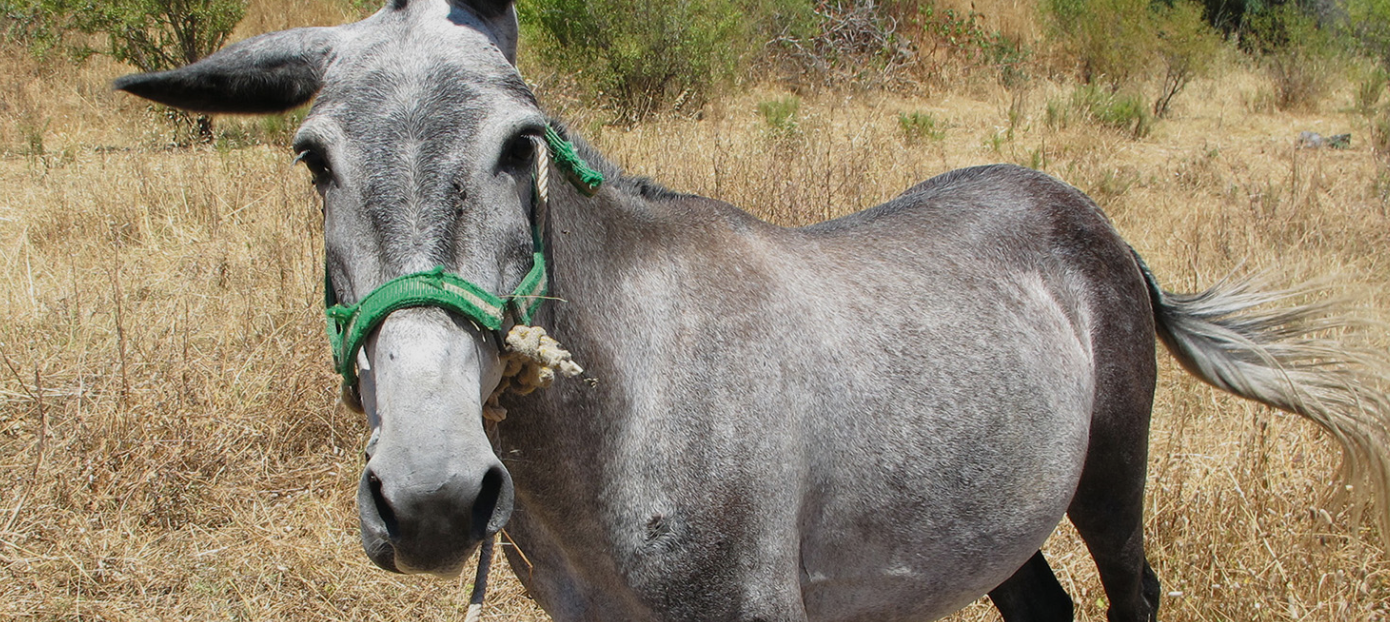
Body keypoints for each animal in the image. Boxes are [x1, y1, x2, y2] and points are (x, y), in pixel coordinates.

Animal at [113, 1, 1390, 619]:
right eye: (313, 159)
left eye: (521, 146)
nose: (431, 495)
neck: (626, 412)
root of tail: (1099, 227)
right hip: (989, 516)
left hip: (1110, 475)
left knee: (1132, 591)